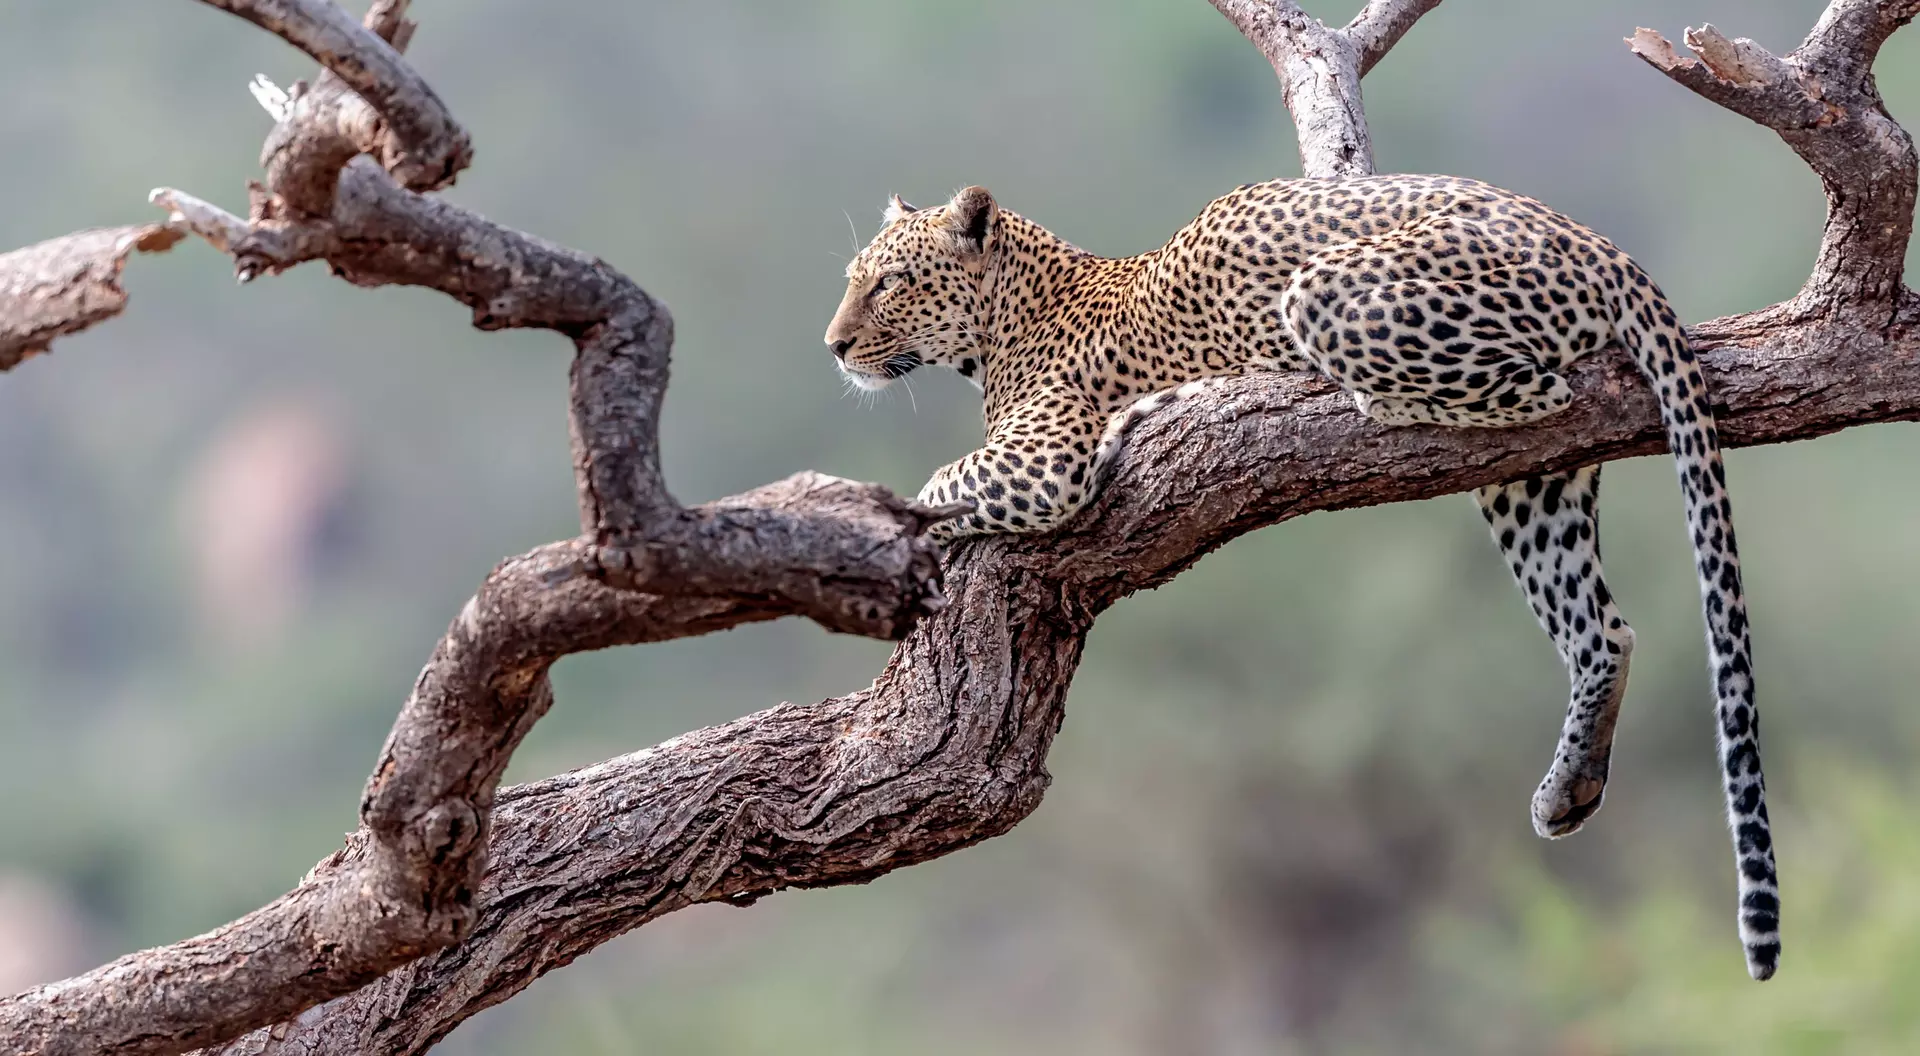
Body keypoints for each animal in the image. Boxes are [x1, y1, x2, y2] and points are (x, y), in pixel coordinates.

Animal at [822, 175, 1778, 981]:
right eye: (852, 278)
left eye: (890, 282)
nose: (834, 346)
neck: (1007, 319)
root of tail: (1596, 240)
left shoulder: (1045, 463)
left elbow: (936, 487)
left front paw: (865, 528)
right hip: (1534, 487)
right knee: (1601, 627)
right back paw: (1569, 788)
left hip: (1332, 295)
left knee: (1539, 390)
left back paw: (1341, 398)